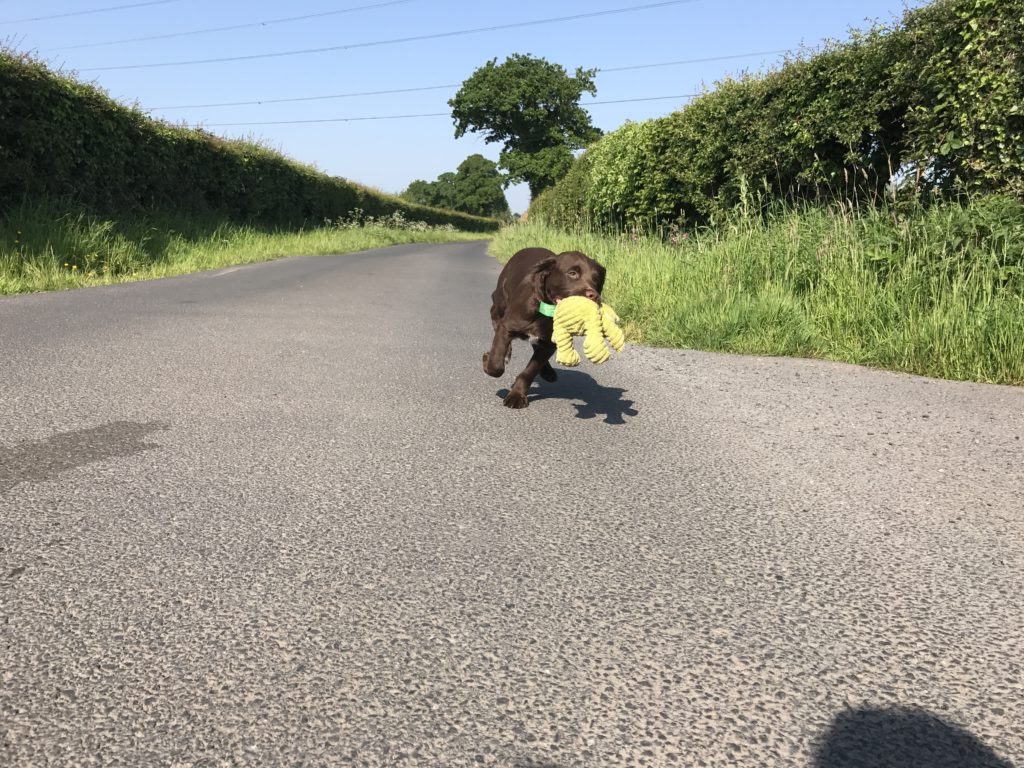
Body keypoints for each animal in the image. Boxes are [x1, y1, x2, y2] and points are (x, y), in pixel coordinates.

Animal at [481, 249, 602, 411]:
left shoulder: (550, 343)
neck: (545, 310)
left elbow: (530, 371)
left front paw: (517, 396)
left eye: (596, 279)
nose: (593, 296)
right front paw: (487, 359)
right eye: (572, 273)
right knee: (495, 317)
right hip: (500, 300)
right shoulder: (507, 326)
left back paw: (547, 371)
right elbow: (495, 364)